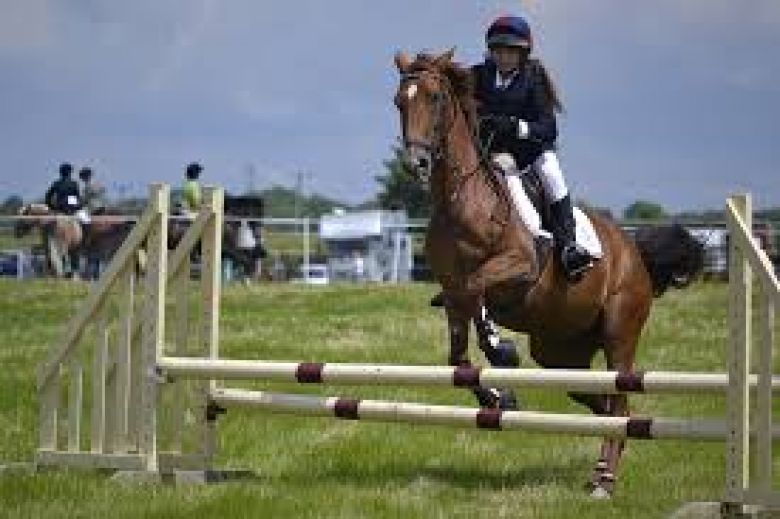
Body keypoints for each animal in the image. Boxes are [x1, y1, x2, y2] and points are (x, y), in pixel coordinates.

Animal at [394, 49, 704, 500]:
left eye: (434, 98)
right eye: (399, 102)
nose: (415, 163)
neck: (461, 199)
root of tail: (634, 254)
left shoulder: (519, 266)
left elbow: (476, 290)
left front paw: (501, 349)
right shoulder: (450, 291)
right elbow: (459, 354)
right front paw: (499, 398)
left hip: (619, 332)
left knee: (620, 398)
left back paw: (605, 480)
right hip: (558, 350)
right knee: (600, 400)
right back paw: (605, 464)